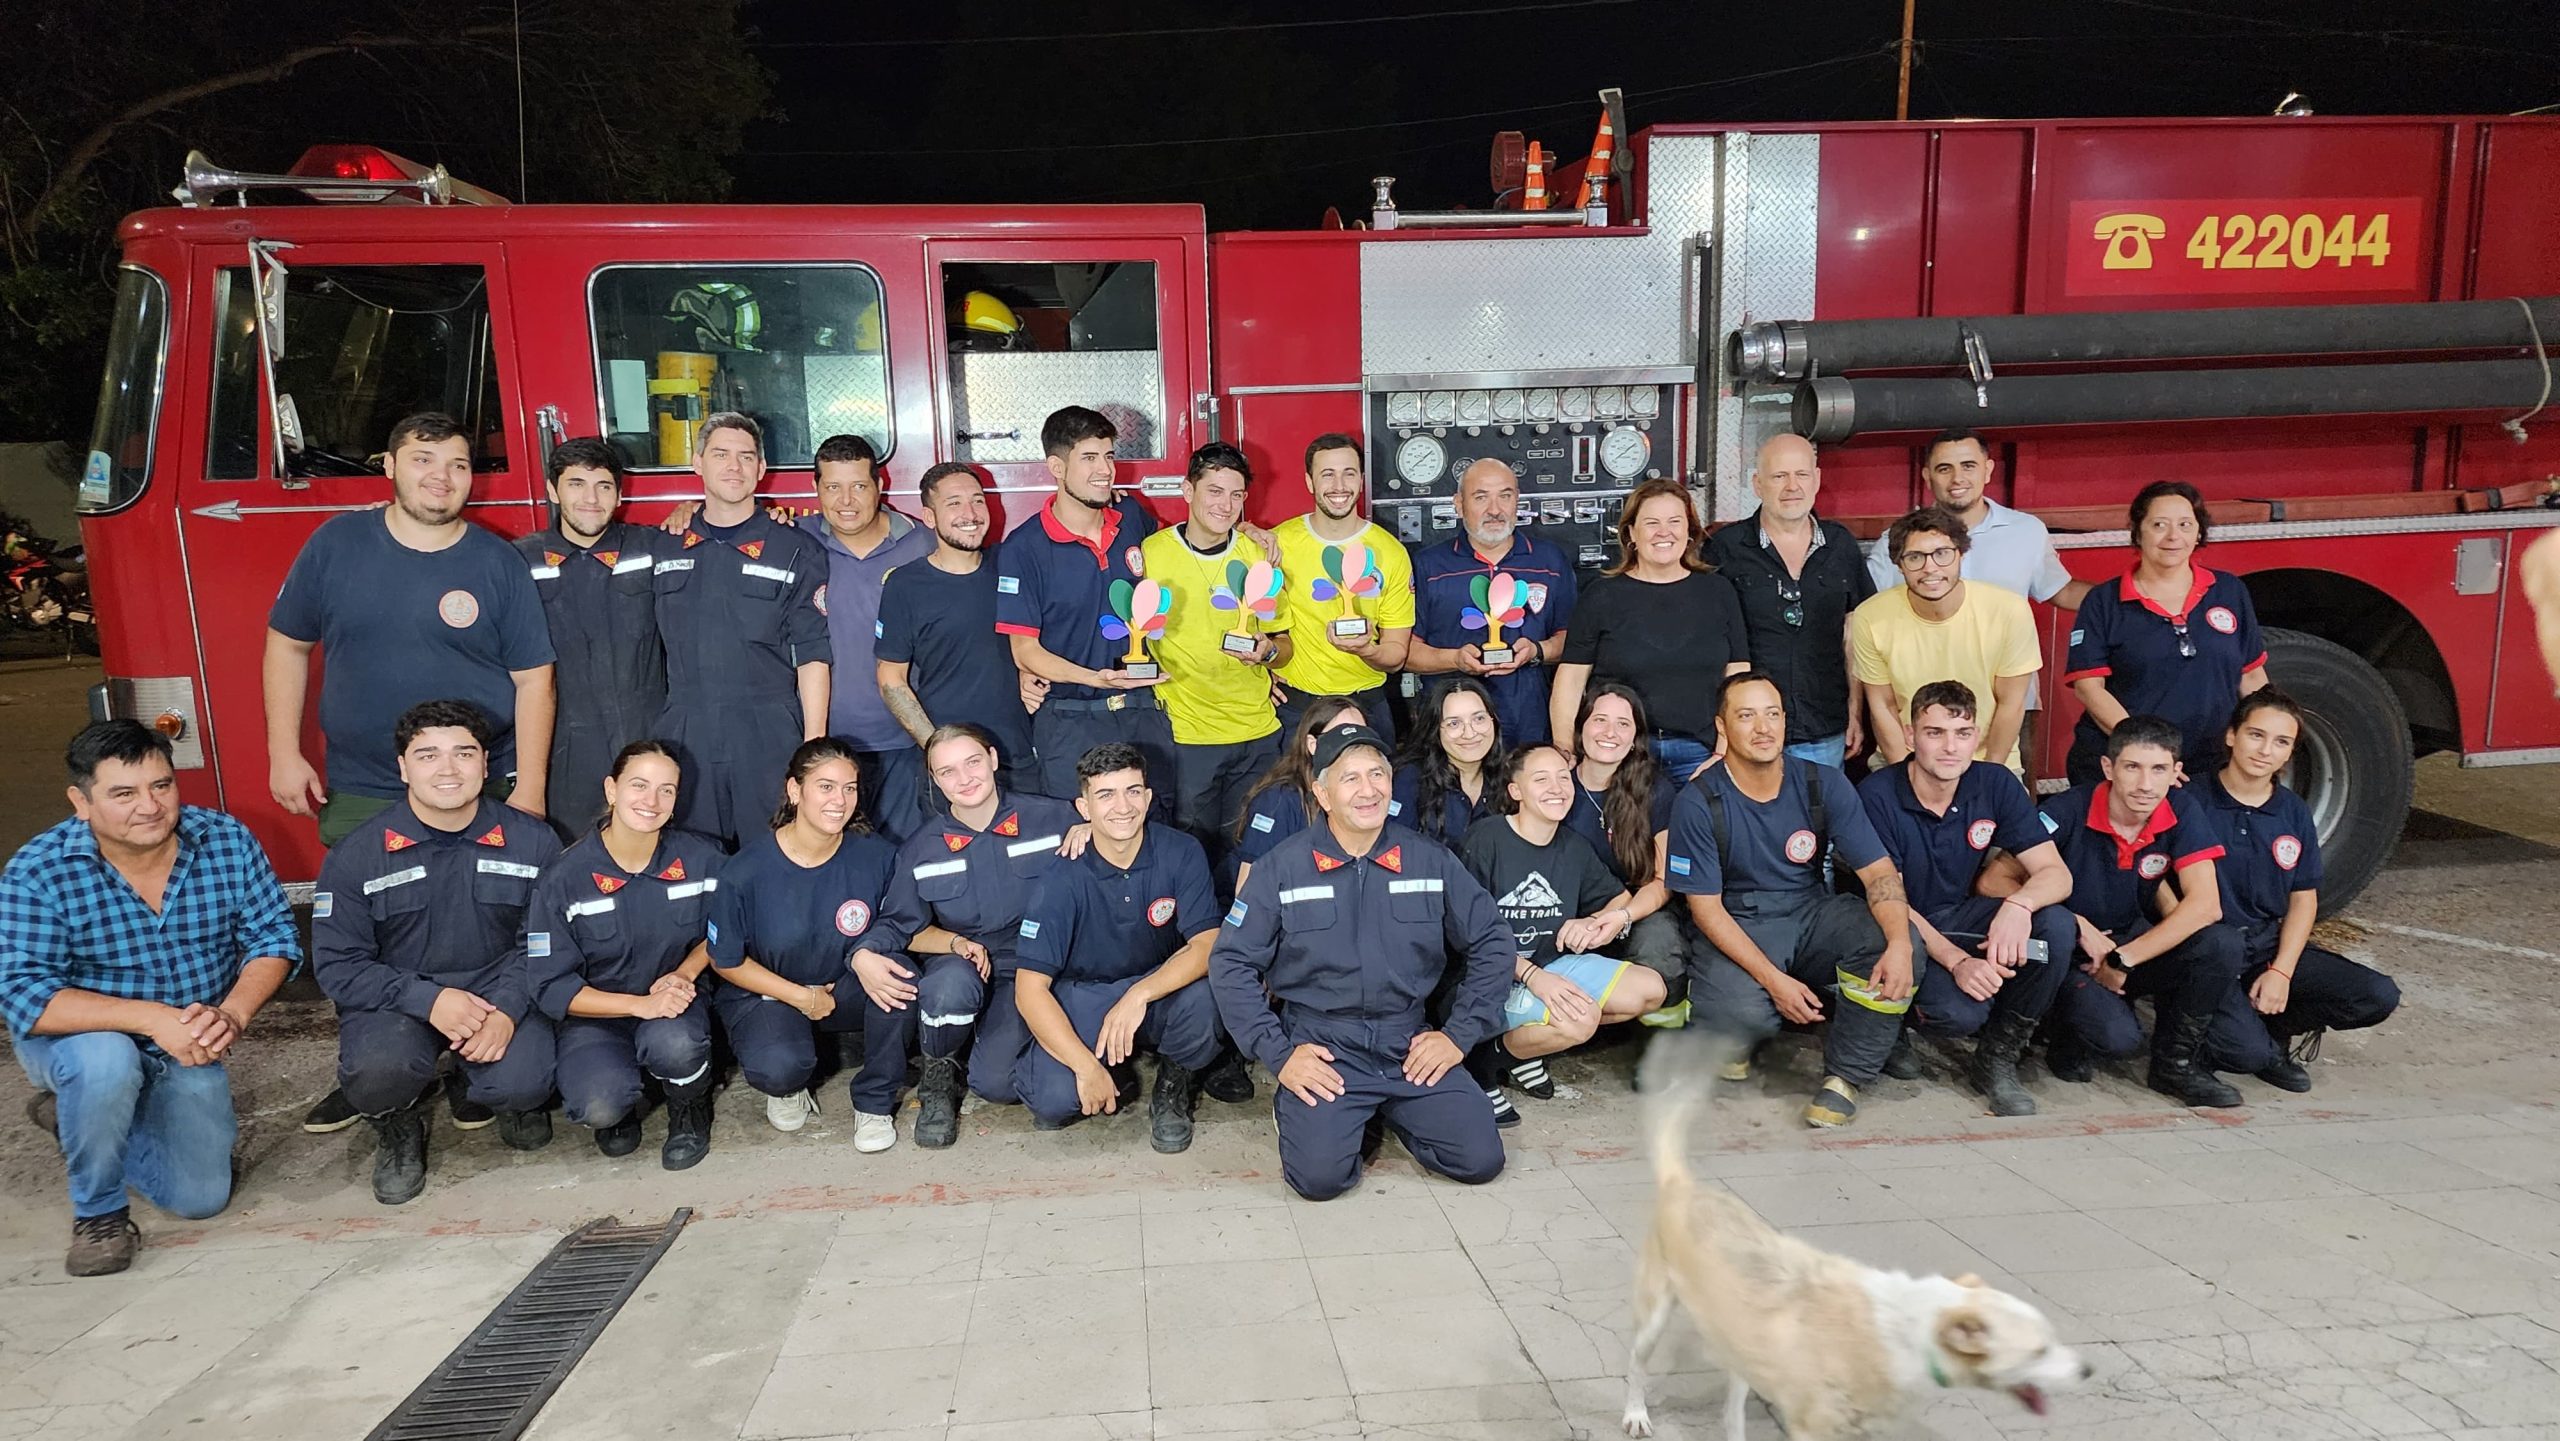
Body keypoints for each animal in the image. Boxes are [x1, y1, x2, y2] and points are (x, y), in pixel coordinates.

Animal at [1628, 1039, 2088, 1441]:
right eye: (2038, 1352)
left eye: (2051, 1339)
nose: (2089, 1372)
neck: (1908, 1331)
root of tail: (1684, 1185)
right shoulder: (1813, 1427)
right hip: (1654, 1314)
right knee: (1636, 1364)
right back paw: (1636, 1414)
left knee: (1732, 1407)